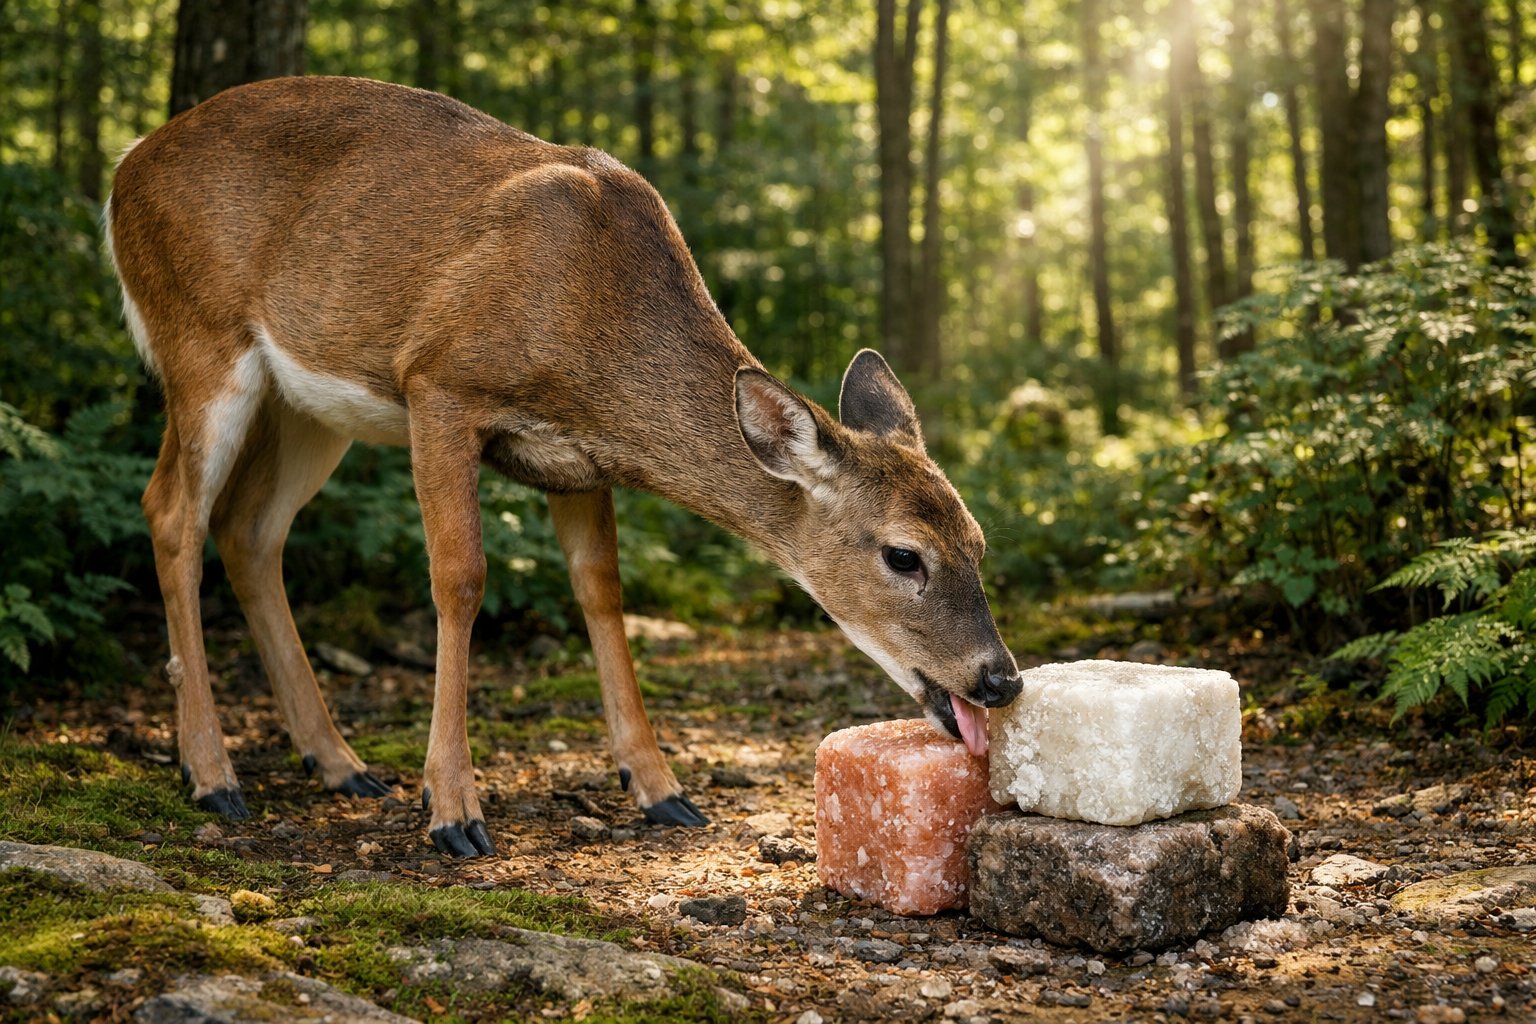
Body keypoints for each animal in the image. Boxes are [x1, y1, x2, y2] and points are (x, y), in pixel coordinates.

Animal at [106, 76, 1021, 857]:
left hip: (312, 402)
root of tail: (124, 170)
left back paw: (339, 763)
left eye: (979, 543)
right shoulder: (439, 382)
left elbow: (600, 592)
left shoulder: (580, 464)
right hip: (199, 334)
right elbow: (460, 577)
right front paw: (453, 809)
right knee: (171, 512)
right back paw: (212, 775)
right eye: (902, 555)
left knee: (249, 528)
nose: (1000, 679)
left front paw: (659, 789)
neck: (593, 325)